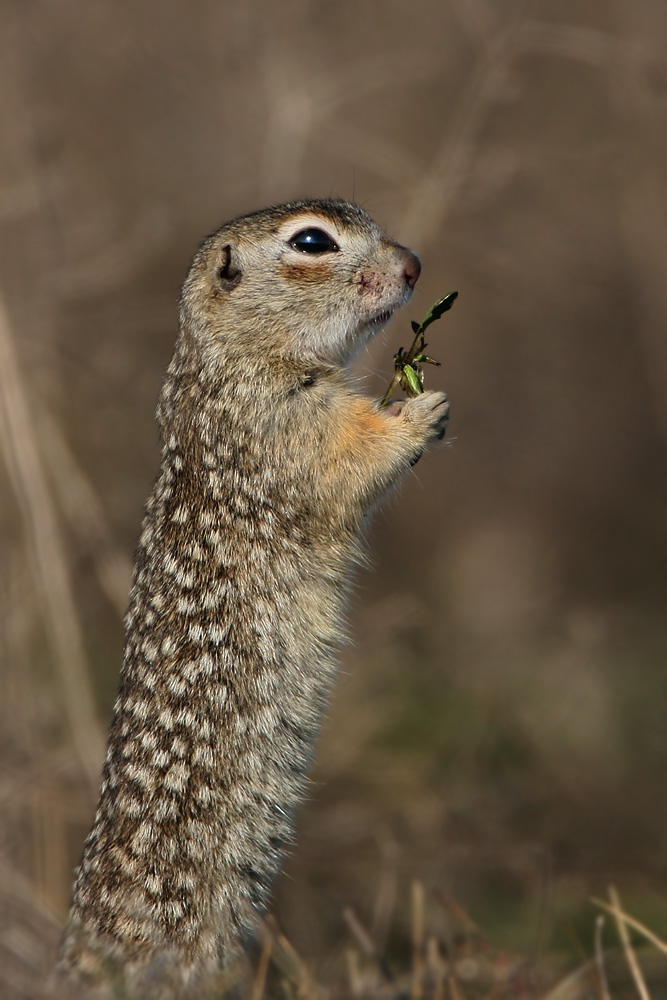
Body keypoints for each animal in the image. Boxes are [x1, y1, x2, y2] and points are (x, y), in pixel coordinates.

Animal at [57, 201, 452, 992]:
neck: (229, 362)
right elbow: (352, 463)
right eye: (312, 241)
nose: (414, 264)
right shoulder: (284, 430)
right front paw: (421, 410)